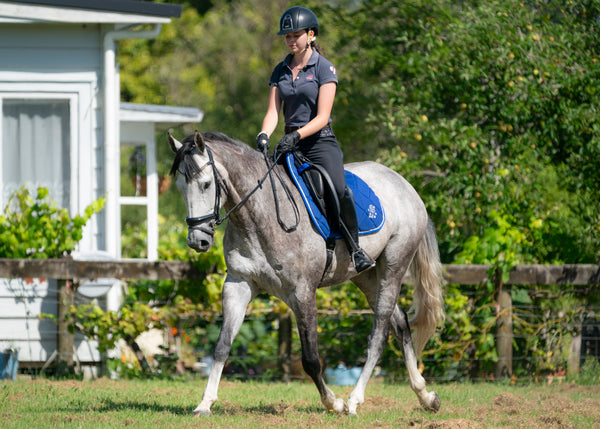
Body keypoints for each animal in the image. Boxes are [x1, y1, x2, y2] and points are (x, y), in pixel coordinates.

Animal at [169, 130, 446, 414]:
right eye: (180, 187)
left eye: (205, 184)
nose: (198, 241)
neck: (259, 216)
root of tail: (404, 184)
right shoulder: (239, 284)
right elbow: (222, 345)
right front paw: (205, 403)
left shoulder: (302, 292)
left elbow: (311, 359)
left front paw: (334, 403)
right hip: (366, 277)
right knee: (400, 323)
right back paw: (425, 396)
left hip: (394, 267)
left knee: (379, 335)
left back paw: (355, 400)